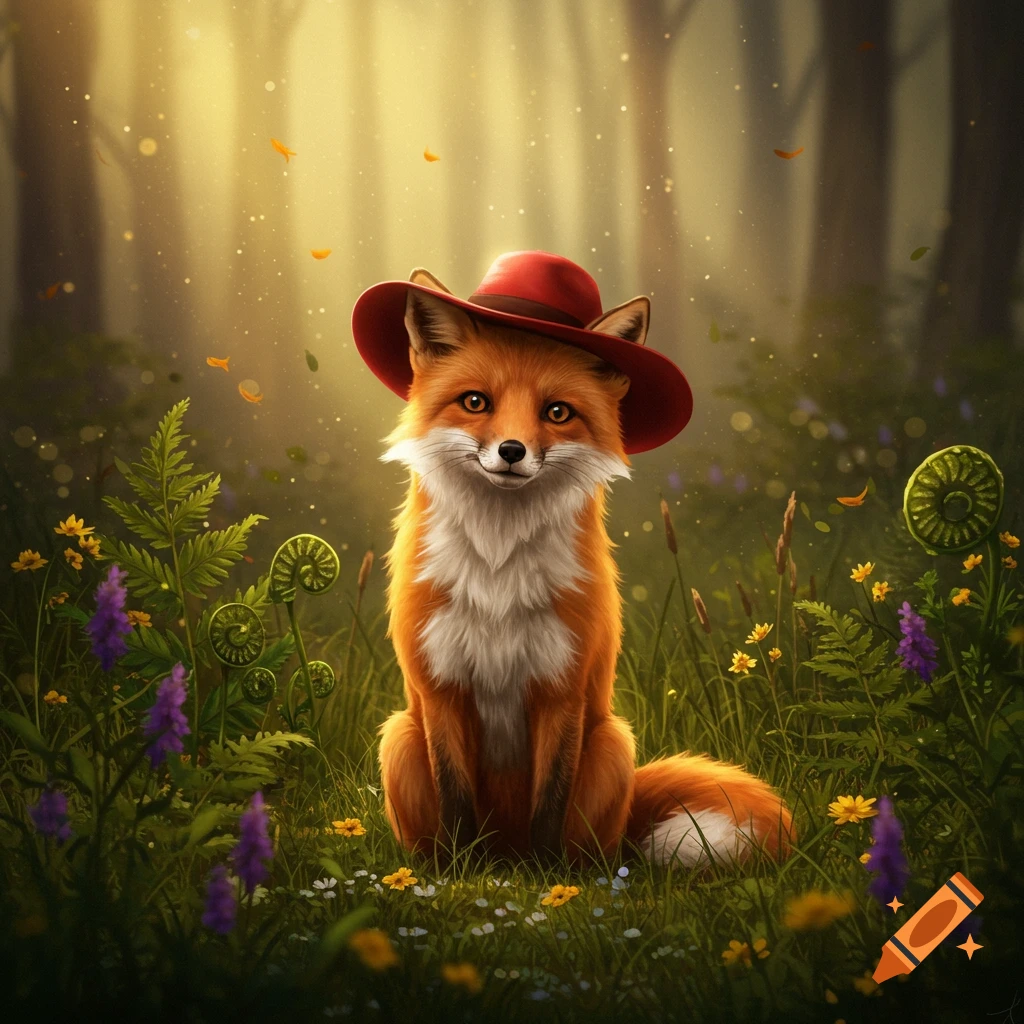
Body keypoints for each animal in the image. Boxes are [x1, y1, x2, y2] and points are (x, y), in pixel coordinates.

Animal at [369, 260, 795, 868]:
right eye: (475, 402)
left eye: (557, 412)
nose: (512, 451)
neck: (498, 571)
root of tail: (506, 848)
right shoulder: (440, 690)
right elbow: (456, 802)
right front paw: (459, 870)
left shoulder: (562, 689)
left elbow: (551, 802)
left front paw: (550, 879)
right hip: (399, 735)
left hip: (612, 743)